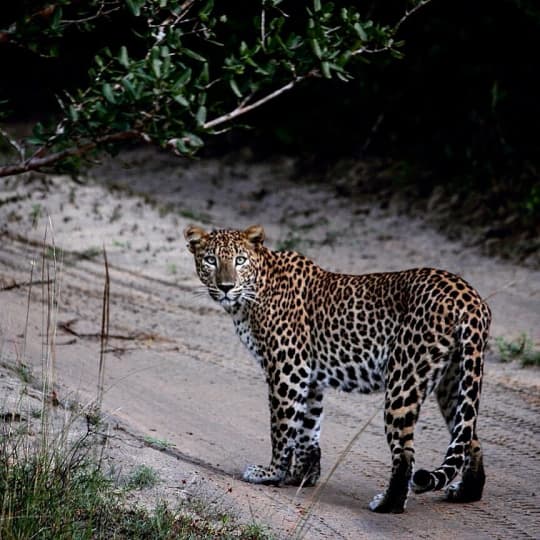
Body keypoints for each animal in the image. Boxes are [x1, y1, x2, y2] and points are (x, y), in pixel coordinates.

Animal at [184, 224, 492, 516]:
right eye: (211, 260)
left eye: (240, 260)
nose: (225, 286)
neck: (252, 295)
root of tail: (470, 298)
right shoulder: (310, 376)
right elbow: (308, 427)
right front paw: (303, 476)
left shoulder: (287, 368)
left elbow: (282, 426)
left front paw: (271, 473)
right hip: (455, 378)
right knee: (468, 436)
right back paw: (465, 492)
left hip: (405, 378)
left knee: (405, 451)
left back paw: (387, 504)